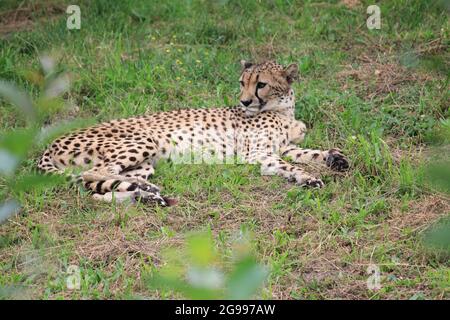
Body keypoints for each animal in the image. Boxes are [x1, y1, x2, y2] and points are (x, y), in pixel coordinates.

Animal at [37, 60, 348, 206]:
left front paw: (334, 158)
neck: (282, 109)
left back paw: (145, 194)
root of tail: (49, 144)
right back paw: (143, 192)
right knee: (92, 176)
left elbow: (307, 153)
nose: (244, 101)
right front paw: (308, 177)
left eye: (261, 84)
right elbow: (289, 165)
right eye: (242, 83)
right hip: (143, 141)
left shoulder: (282, 148)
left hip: (145, 164)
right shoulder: (257, 153)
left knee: (96, 188)